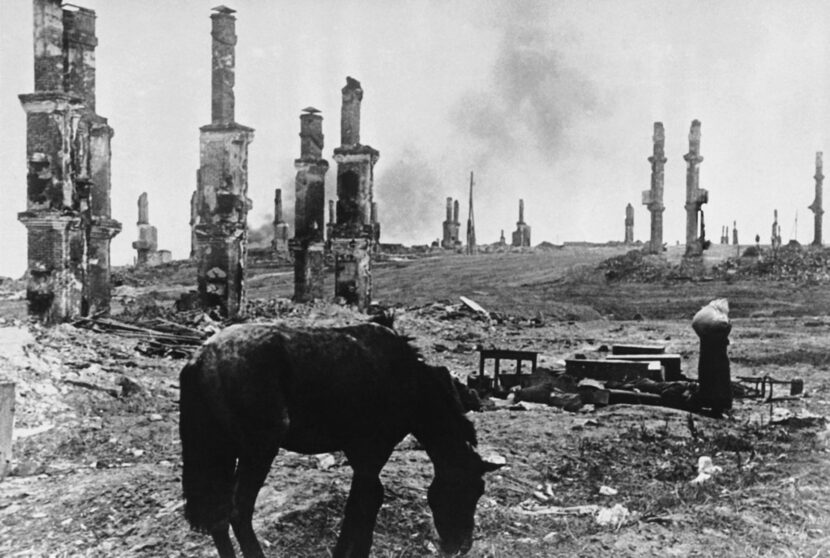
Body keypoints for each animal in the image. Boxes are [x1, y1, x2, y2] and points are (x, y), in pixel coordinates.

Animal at [180, 322, 500, 556]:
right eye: (469, 489)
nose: (461, 546)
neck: (405, 379)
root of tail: (202, 357)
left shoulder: (360, 455)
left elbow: (363, 501)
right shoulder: (372, 453)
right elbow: (365, 502)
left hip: (222, 453)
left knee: (219, 515)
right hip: (258, 452)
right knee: (239, 512)